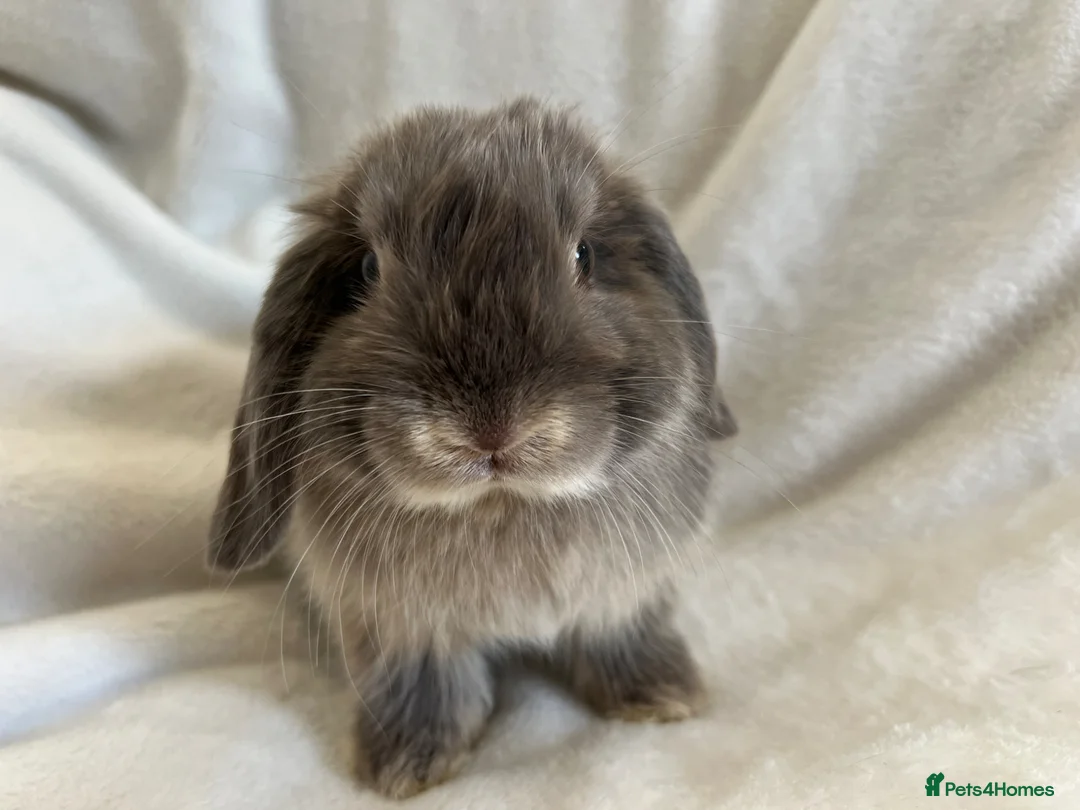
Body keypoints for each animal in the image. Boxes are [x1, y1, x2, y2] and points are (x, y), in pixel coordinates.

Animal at [206, 96, 737, 799]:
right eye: (368, 270)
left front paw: (663, 696)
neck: (500, 505)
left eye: (584, 255)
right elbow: (424, 684)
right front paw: (407, 765)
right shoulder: (400, 625)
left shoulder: (624, 593)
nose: (491, 430)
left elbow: (620, 637)